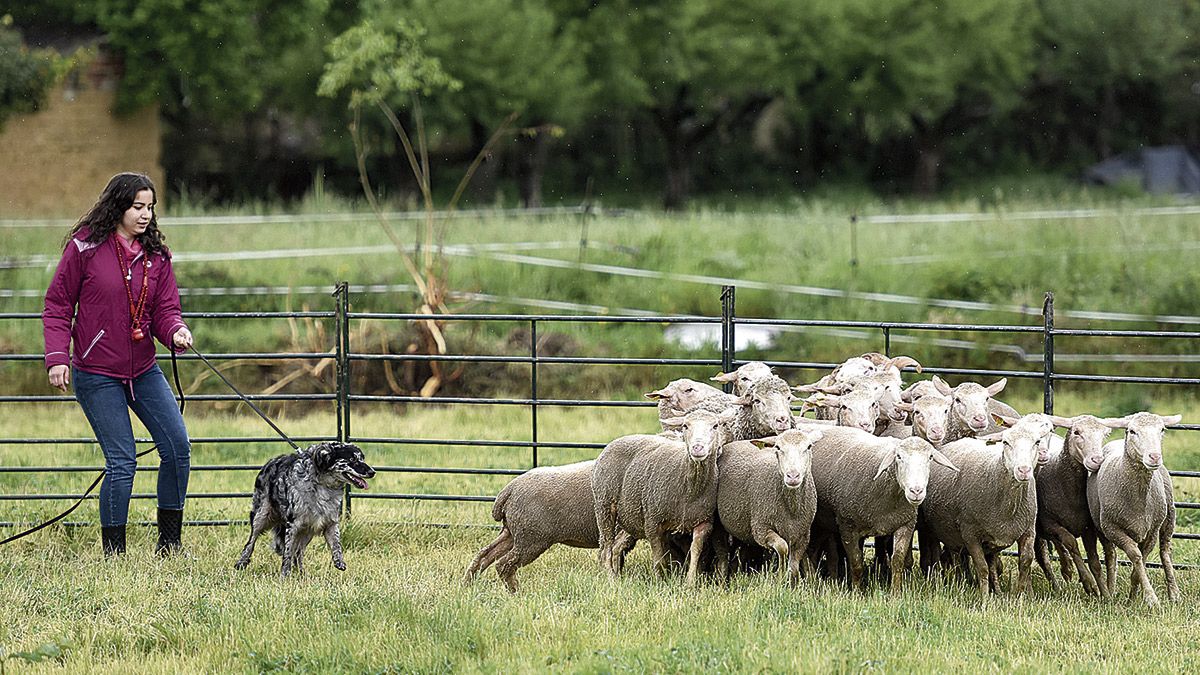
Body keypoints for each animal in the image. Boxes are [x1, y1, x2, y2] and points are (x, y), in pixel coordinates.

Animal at [229, 441, 369, 571]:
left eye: (362, 458)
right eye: (352, 459)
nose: (372, 472)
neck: (321, 485)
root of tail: (270, 462)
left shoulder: (329, 522)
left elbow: (336, 544)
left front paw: (339, 561)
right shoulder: (293, 525)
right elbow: (287, 554)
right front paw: (284, 575)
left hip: (306, 531)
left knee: (298, 553)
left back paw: (302, 574)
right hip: (261, 516)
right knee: (251, 541)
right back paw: (242, 562)